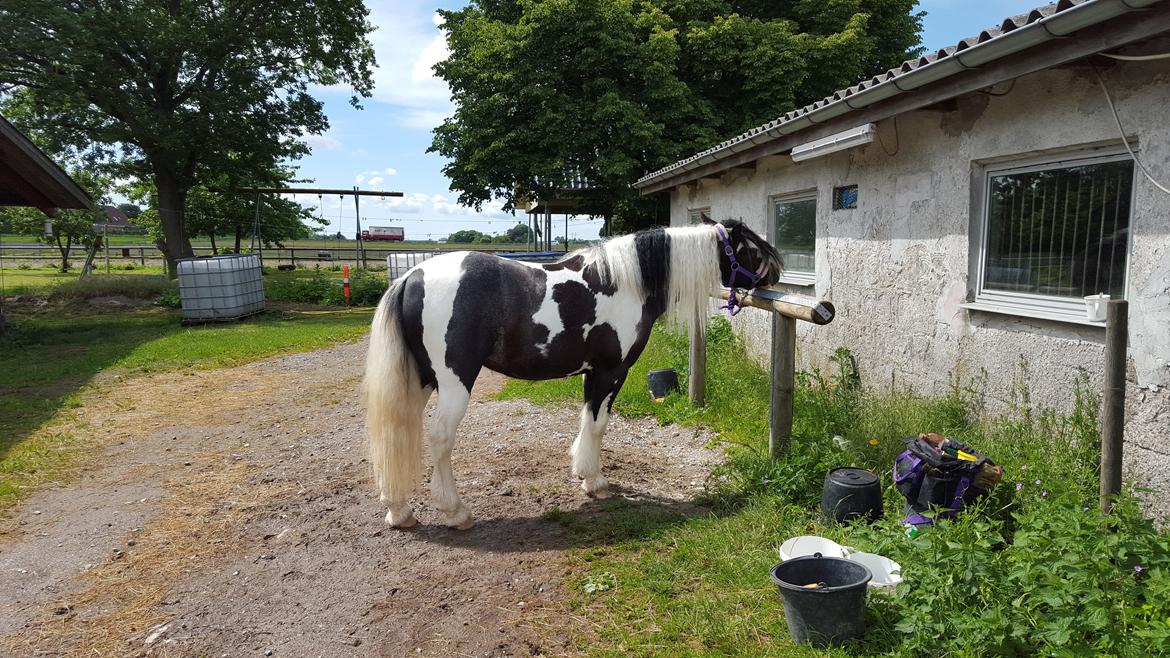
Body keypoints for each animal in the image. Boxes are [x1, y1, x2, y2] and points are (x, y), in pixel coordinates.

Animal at [362, 217, 786, 524]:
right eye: (750, 247)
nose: (778, 273)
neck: (627, 283)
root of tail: (411, 276)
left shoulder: (591, 372)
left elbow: (586, 420)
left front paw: (582, 472)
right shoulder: (612, 371)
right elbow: (598, 424)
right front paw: (595, 482)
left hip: (421, 379)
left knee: (400, 431)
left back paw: (399, 509)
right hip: (454, 382)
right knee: (439, 438)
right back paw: (454, 511)